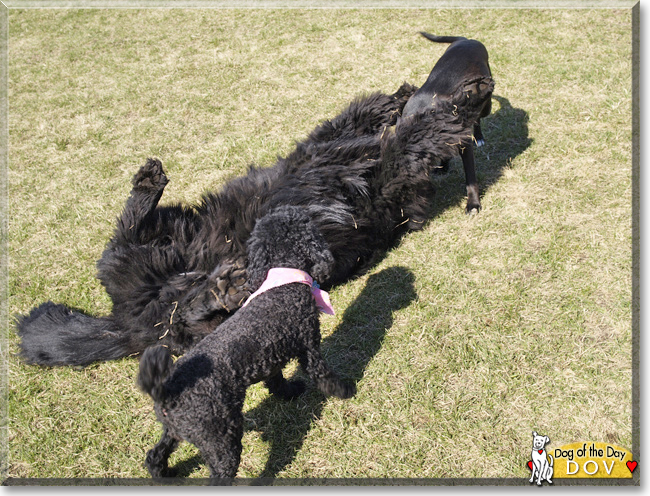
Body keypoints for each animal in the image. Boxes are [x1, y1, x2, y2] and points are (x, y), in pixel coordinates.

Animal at [16, 75, 492, 366]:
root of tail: (124, 322)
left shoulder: (387, 182)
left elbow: (409, 137)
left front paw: (450, 100)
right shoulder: (343, 152)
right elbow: (372, 123)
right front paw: (434, 97)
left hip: (169, 259)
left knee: (174, 301)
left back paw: (221, 282)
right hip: (166, 246)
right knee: (131, 246)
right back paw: (153, 190)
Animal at [134, 205, 352, 480]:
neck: (282, 281)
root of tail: (165, 390)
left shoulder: (271, 355)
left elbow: (276, 380)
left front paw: (289, 392)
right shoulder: (308, 344)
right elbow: (323, 375)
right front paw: (346, 390)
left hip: (175, 429)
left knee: (155, 454)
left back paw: (163, 473)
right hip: (219, 436)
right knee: (220, 473)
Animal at [400, 33, 492, 213]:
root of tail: (467, 40)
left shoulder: (464, 145)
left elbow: (471, 178)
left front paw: (473, 204)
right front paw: (443, 167)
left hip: (487, 105)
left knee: (478, 117)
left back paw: (479, 137)